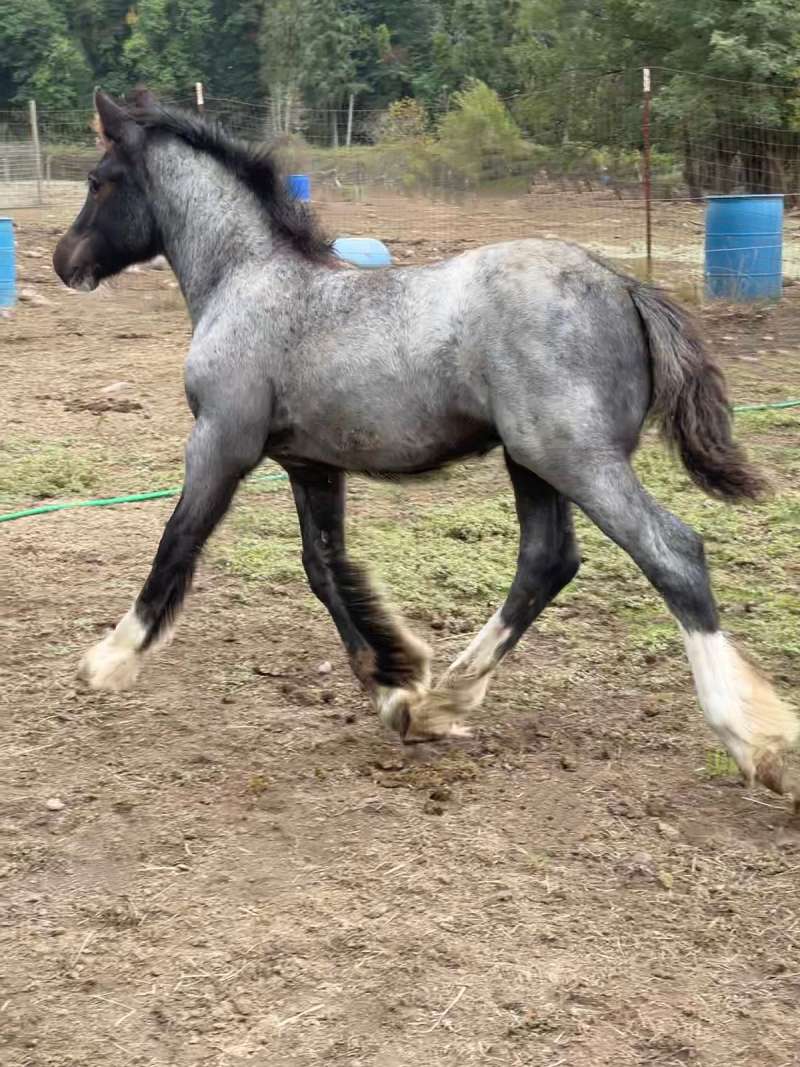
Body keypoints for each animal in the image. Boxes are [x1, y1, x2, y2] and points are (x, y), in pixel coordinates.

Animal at [53, 93, 797, 806]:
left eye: (98, 180)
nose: (65, 261)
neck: (250, 281)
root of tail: (624, 286)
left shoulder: (220, 443)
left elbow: (177, 542)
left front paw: (110, 658)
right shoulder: (310, 465)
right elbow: (326, 569)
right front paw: (394, 683)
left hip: (574, 457)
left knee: (671, 552)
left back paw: (754, 740)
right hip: (531, 460)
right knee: (547, 559)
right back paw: (443, 701)